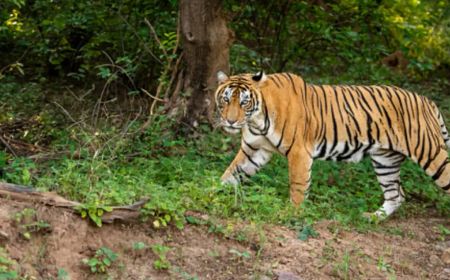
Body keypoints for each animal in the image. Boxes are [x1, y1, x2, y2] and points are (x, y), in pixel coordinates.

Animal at [214, 70, 450, 219]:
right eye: (226, 99)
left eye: (244, 102)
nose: (230, 121)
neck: (257, 120)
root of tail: (427, 101)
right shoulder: (255, 150)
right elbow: (231, 174)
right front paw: (211, 193)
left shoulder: (299, 152)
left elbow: (297, 186)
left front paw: (292, 214)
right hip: (386, 160)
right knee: (396, 195)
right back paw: (372, 218)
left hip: (430, 154)